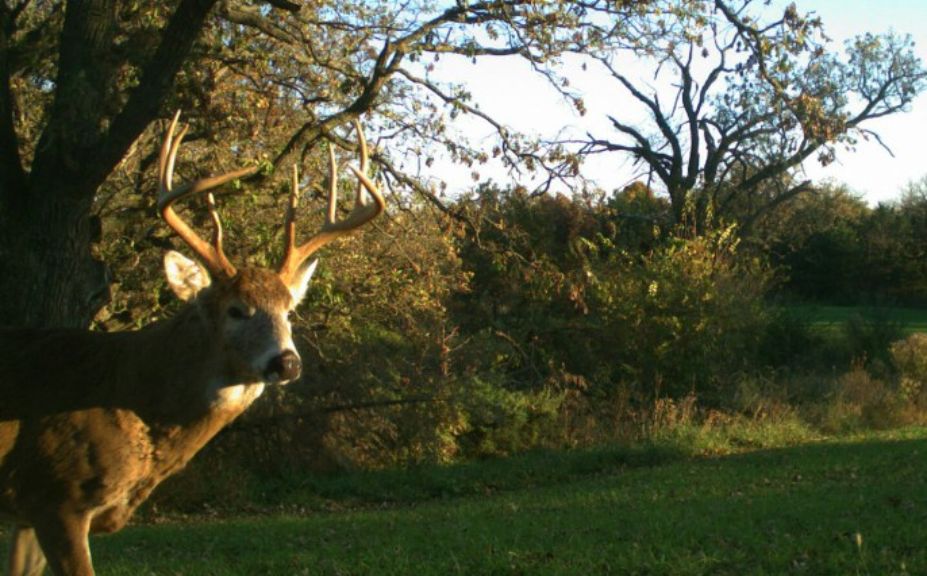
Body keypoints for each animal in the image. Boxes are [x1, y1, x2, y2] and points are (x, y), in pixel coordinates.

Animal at [0, 110, 384, 572]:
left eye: (289, 310)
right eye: (236, 309)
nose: (287, 362)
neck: (125, 386)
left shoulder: (29, 511)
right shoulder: (57, 495)